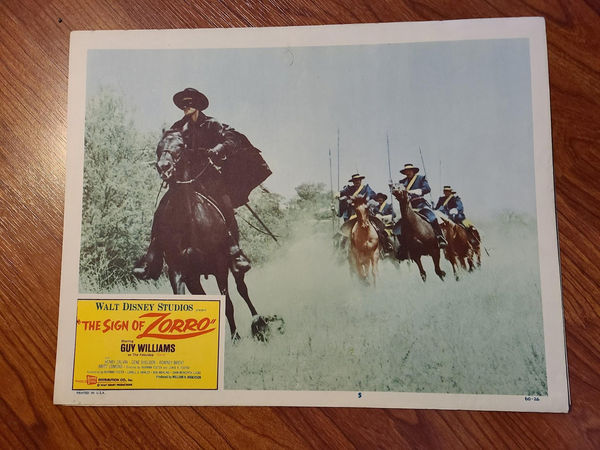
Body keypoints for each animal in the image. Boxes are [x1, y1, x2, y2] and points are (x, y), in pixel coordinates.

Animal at [150, 130, 276, 342]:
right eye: (159, 147)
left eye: (181, 146)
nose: (164, 166)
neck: (190, 223)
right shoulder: (180, 272)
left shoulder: (219, 265)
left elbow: (228, 303)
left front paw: (235, 337)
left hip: (232, 263)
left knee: (242, 289)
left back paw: (259, 322)